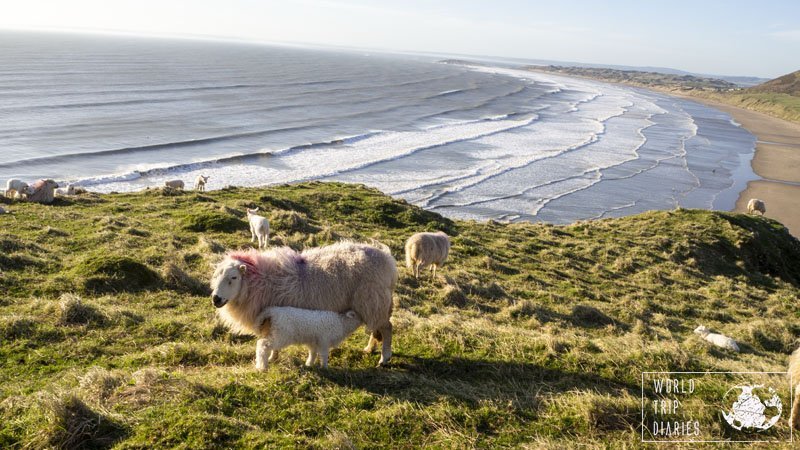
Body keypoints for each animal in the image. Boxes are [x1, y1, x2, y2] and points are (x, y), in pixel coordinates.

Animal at [209, 241, 396, 368]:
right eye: (216, 275)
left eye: (233, 277)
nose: (216, 298)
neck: (261, 281)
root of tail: (387, 260)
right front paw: (273, 357)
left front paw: (271, 358)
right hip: (374, 305)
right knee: (377, 328)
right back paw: (369, 349)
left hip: (372, 301)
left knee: (387, 328)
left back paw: (384, 358)